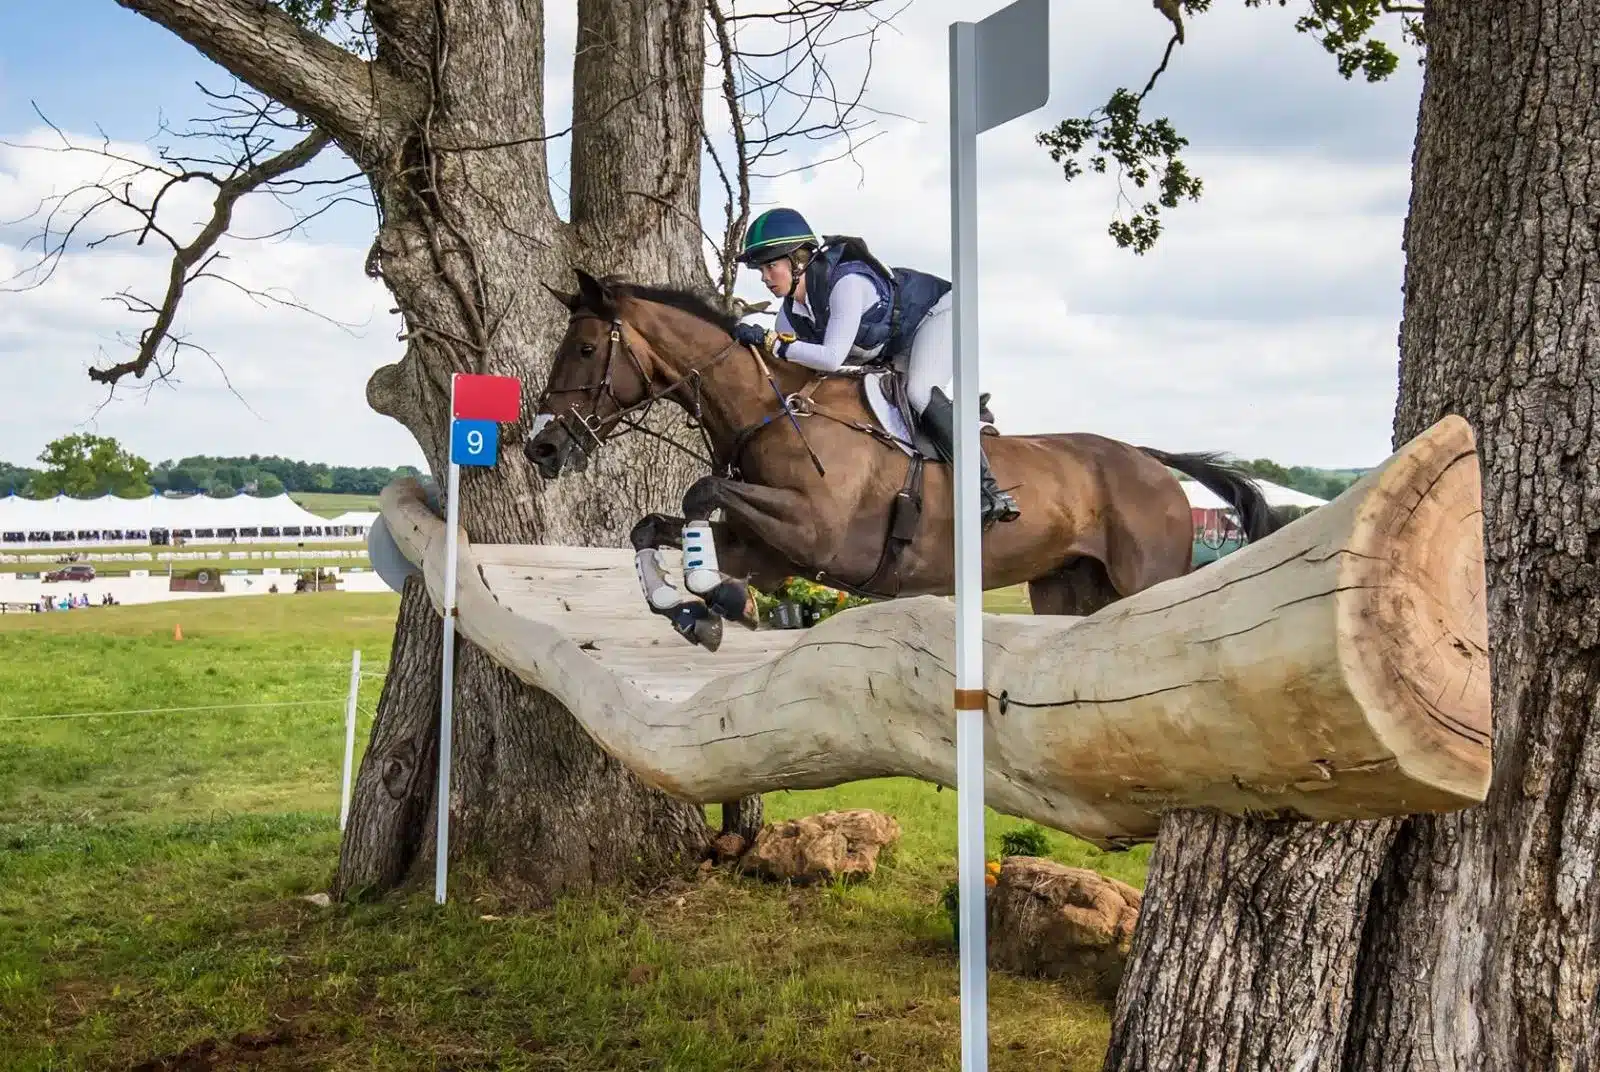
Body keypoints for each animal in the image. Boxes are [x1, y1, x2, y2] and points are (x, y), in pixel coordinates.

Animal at [526, 269, 1275, 651]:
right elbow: (652, 527)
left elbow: (698, 493)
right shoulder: (773, 551)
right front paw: (688, 608)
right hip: (1067, 589)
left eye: (586, 350)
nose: (541, 445)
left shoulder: (816, 532)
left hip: (1145, 582)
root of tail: (1150, 461)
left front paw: (717, 599)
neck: (773, 409)